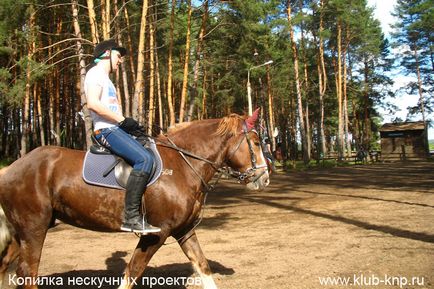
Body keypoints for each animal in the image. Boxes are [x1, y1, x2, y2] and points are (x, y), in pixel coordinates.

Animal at [0, 112, 270, 288]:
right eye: (257, 143)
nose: (265, 178)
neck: (183, 165)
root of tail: (11, 168)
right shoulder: (156, 233)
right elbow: (133, 271)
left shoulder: (184, 230)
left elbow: (202, 266)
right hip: (34, 228)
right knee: (28, 272)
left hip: (21, 232)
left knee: (7, 266)